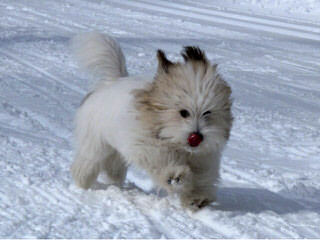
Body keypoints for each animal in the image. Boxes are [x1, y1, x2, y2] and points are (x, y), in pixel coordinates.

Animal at [71, 32, 234, 210]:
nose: (196, 137)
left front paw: (197, 197)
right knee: (89, 160)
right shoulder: (145, 144)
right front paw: (174, 175)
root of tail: (112, 82)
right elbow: (160, 157)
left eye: (207, 113)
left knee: (114, 165)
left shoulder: (204, 157)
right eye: (183, 112)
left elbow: (204, 175)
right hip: (96, 141)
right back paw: (82, 181)